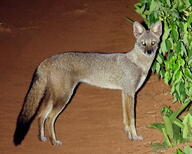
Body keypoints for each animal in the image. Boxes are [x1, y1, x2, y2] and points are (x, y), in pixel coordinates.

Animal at [13, 21, 162, 146]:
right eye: (143, 43)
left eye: (153, 42)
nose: (149, 52)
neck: (137, 63)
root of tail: (46, 60)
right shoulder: (130, 93)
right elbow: (132, 119)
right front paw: (135, 137)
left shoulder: (125, 93)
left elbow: (126, 119)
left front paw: (129, 136)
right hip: (63, 98)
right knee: (49, 118)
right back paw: (54, 142)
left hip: (54, 98)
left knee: (40, 115)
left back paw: (42, 138)